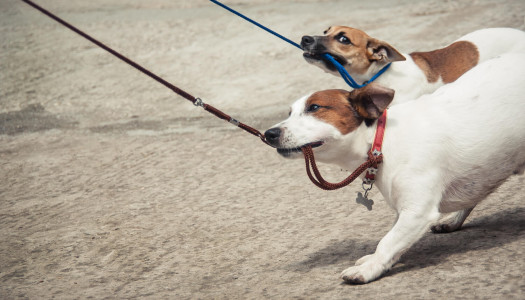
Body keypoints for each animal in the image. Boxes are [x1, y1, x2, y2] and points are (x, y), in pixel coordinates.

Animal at [264, 53, 524, 284]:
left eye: (315, 107)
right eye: (289, 113)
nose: (269, 133)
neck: (381, 140)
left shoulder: (417, 211)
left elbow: (387, 242)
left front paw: (369, 269)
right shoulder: (404, 210)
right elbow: (393, 241)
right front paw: (377, 261)